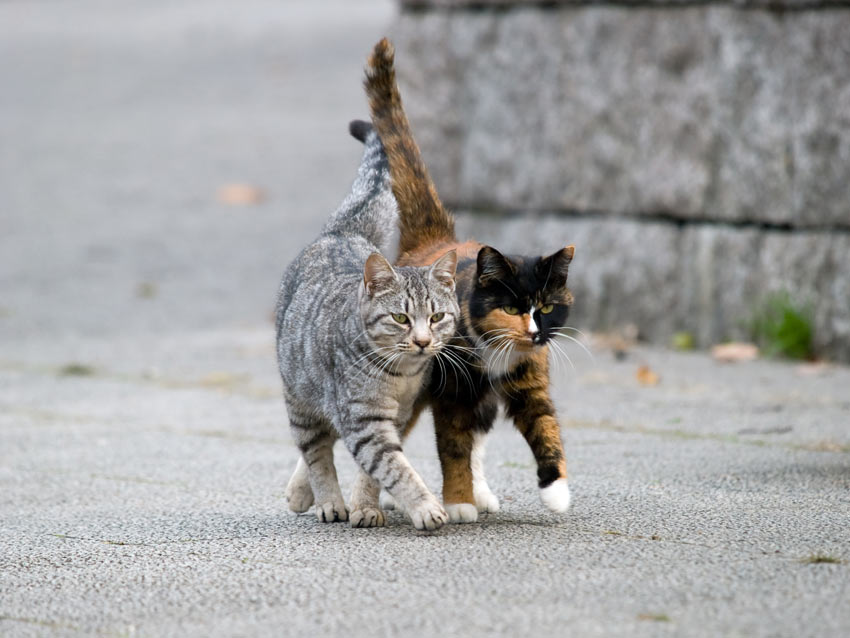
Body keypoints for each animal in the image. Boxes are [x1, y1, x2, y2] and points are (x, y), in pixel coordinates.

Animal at [274, 119, 458, 528]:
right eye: (401, 318)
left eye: (436, 317)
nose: (423, 341)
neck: (402, 375)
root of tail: (341, 232)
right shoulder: (364, 418)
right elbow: (394, 468)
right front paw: (425, 507)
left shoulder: (397, 415)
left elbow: (373, 471)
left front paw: (367, 505)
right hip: (301, 396)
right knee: (316, 451)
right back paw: (327, 501)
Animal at [362, 37, 572, 524]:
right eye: (511, 307)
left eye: (546, 308)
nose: (535, 332)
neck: (496, 351)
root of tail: (436, 239)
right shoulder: (452, 394)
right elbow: (452, 446)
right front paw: (457, 503)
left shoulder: (530, 381)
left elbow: (545, 426)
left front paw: (556, 490)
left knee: (479, 435)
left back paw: (483, 492)